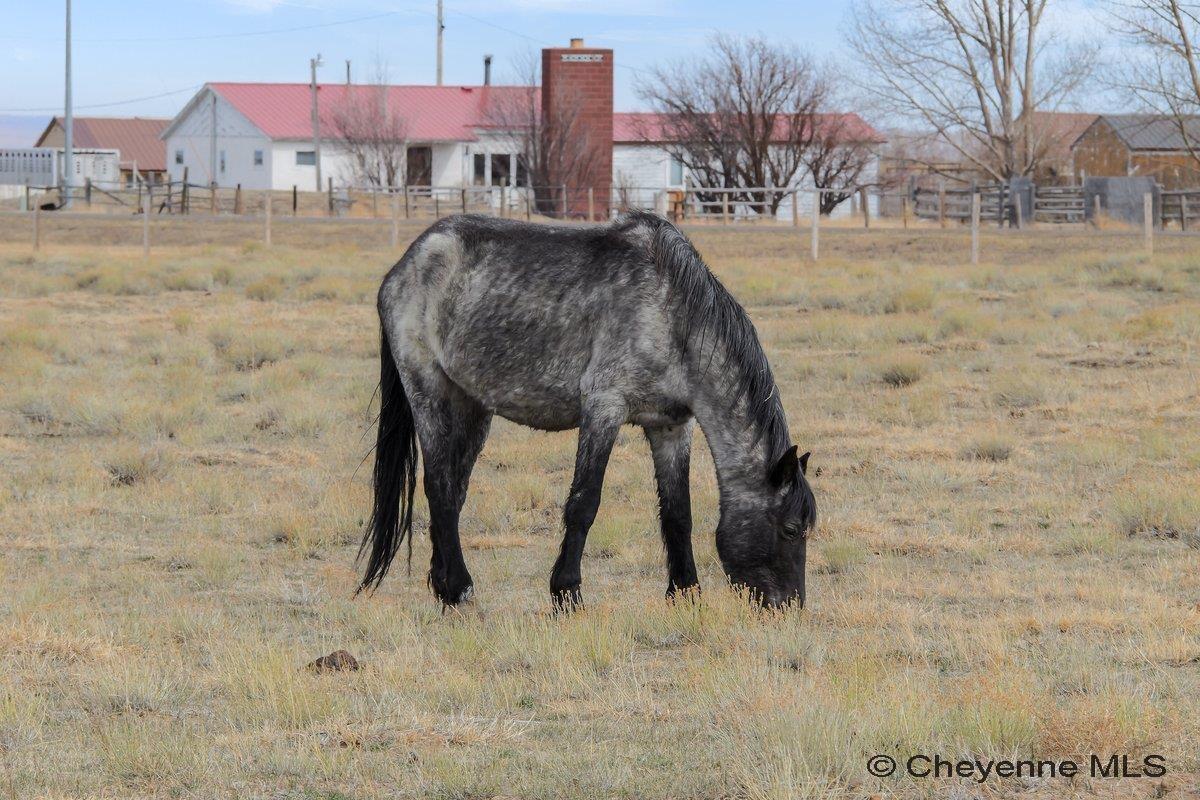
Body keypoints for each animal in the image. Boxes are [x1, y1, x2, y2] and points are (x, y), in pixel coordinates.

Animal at [358, 211, 815, 610]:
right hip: (429, 393)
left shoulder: (672, 427)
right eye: (791, 529)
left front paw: (685, 592)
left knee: (453, 491)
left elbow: (678, 513)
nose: (788, 606)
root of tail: (406, 264)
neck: (672, 314)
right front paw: (566, 592)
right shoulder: (604, 408)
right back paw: (458, 588)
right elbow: (584, 503)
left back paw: (442, 584)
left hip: (471, 407)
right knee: (438, 487)